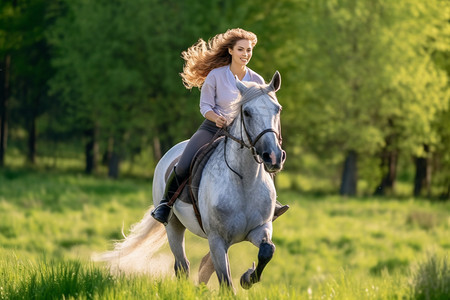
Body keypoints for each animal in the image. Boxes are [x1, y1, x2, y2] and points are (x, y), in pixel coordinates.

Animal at [98, 71, 286, 292]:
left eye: (277, 109)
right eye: (247, 112)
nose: (273, 157)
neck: (244, 183)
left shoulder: (260, 229)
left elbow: (267, 250)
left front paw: (247, 278)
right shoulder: (216, 239)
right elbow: (225, 283)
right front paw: (242, 279)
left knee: (202, 264)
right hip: (173, 225)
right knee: (182, 265)